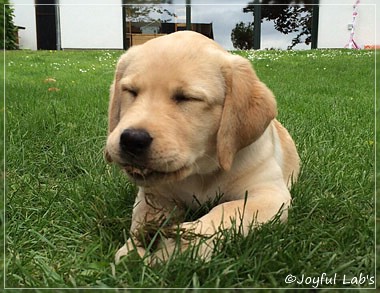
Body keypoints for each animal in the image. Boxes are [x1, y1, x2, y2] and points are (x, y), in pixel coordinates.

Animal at [104, 30, 300, 262]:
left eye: (186, 98)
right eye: (130, 91)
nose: (132, 140)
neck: (200, 173)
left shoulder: (270, 194)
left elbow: (228, 209)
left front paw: (183, 246)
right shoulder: (154, 194)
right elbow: (143, 218)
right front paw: (134, 249)